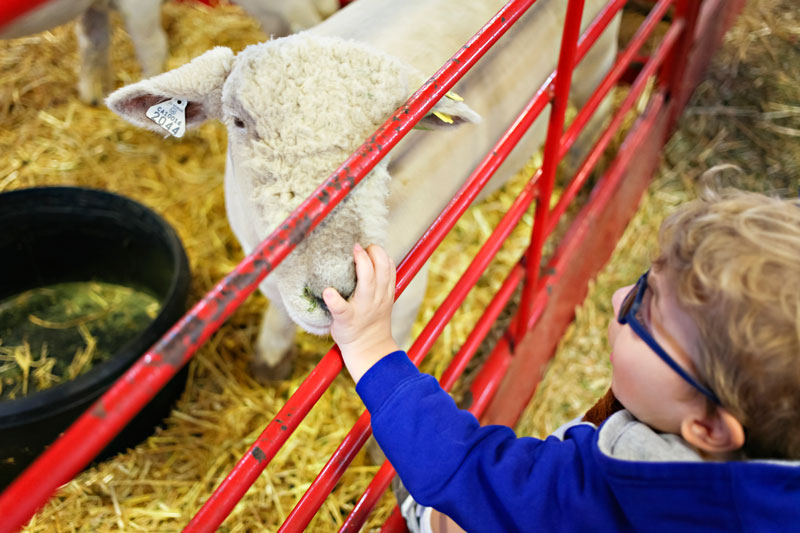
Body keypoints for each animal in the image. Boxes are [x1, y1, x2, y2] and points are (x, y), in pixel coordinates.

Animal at [104, 1, 620, 382]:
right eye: (239, 122)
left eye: (389, 133)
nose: (333, 289)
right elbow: (278, 314)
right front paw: (270, 359)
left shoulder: (408, 289)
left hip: (596, 58)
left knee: (596, 112)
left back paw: (584, 181)